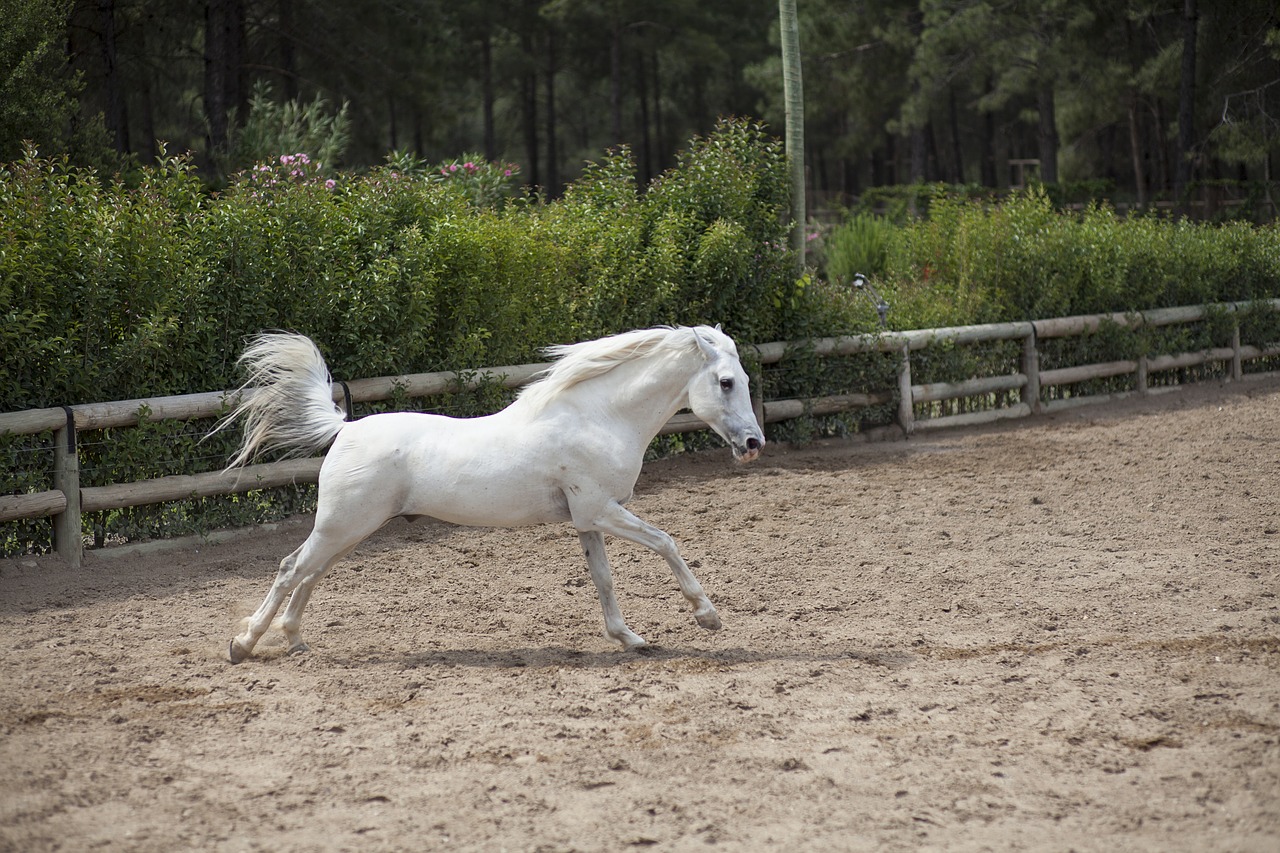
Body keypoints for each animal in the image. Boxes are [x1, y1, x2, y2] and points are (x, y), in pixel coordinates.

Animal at [215, 322, 762, 660]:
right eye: (727, 382)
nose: (754, 444)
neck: (597, 418)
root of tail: (344, 428)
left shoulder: (587, 520)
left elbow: (603, 580)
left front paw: (629, 639)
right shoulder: (601, 511)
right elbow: (667, 542)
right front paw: (708, 617)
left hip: (349, 529)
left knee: (310, 574)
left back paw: (294, 641)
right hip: (342, 525)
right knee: (291, 569)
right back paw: (244, 645)